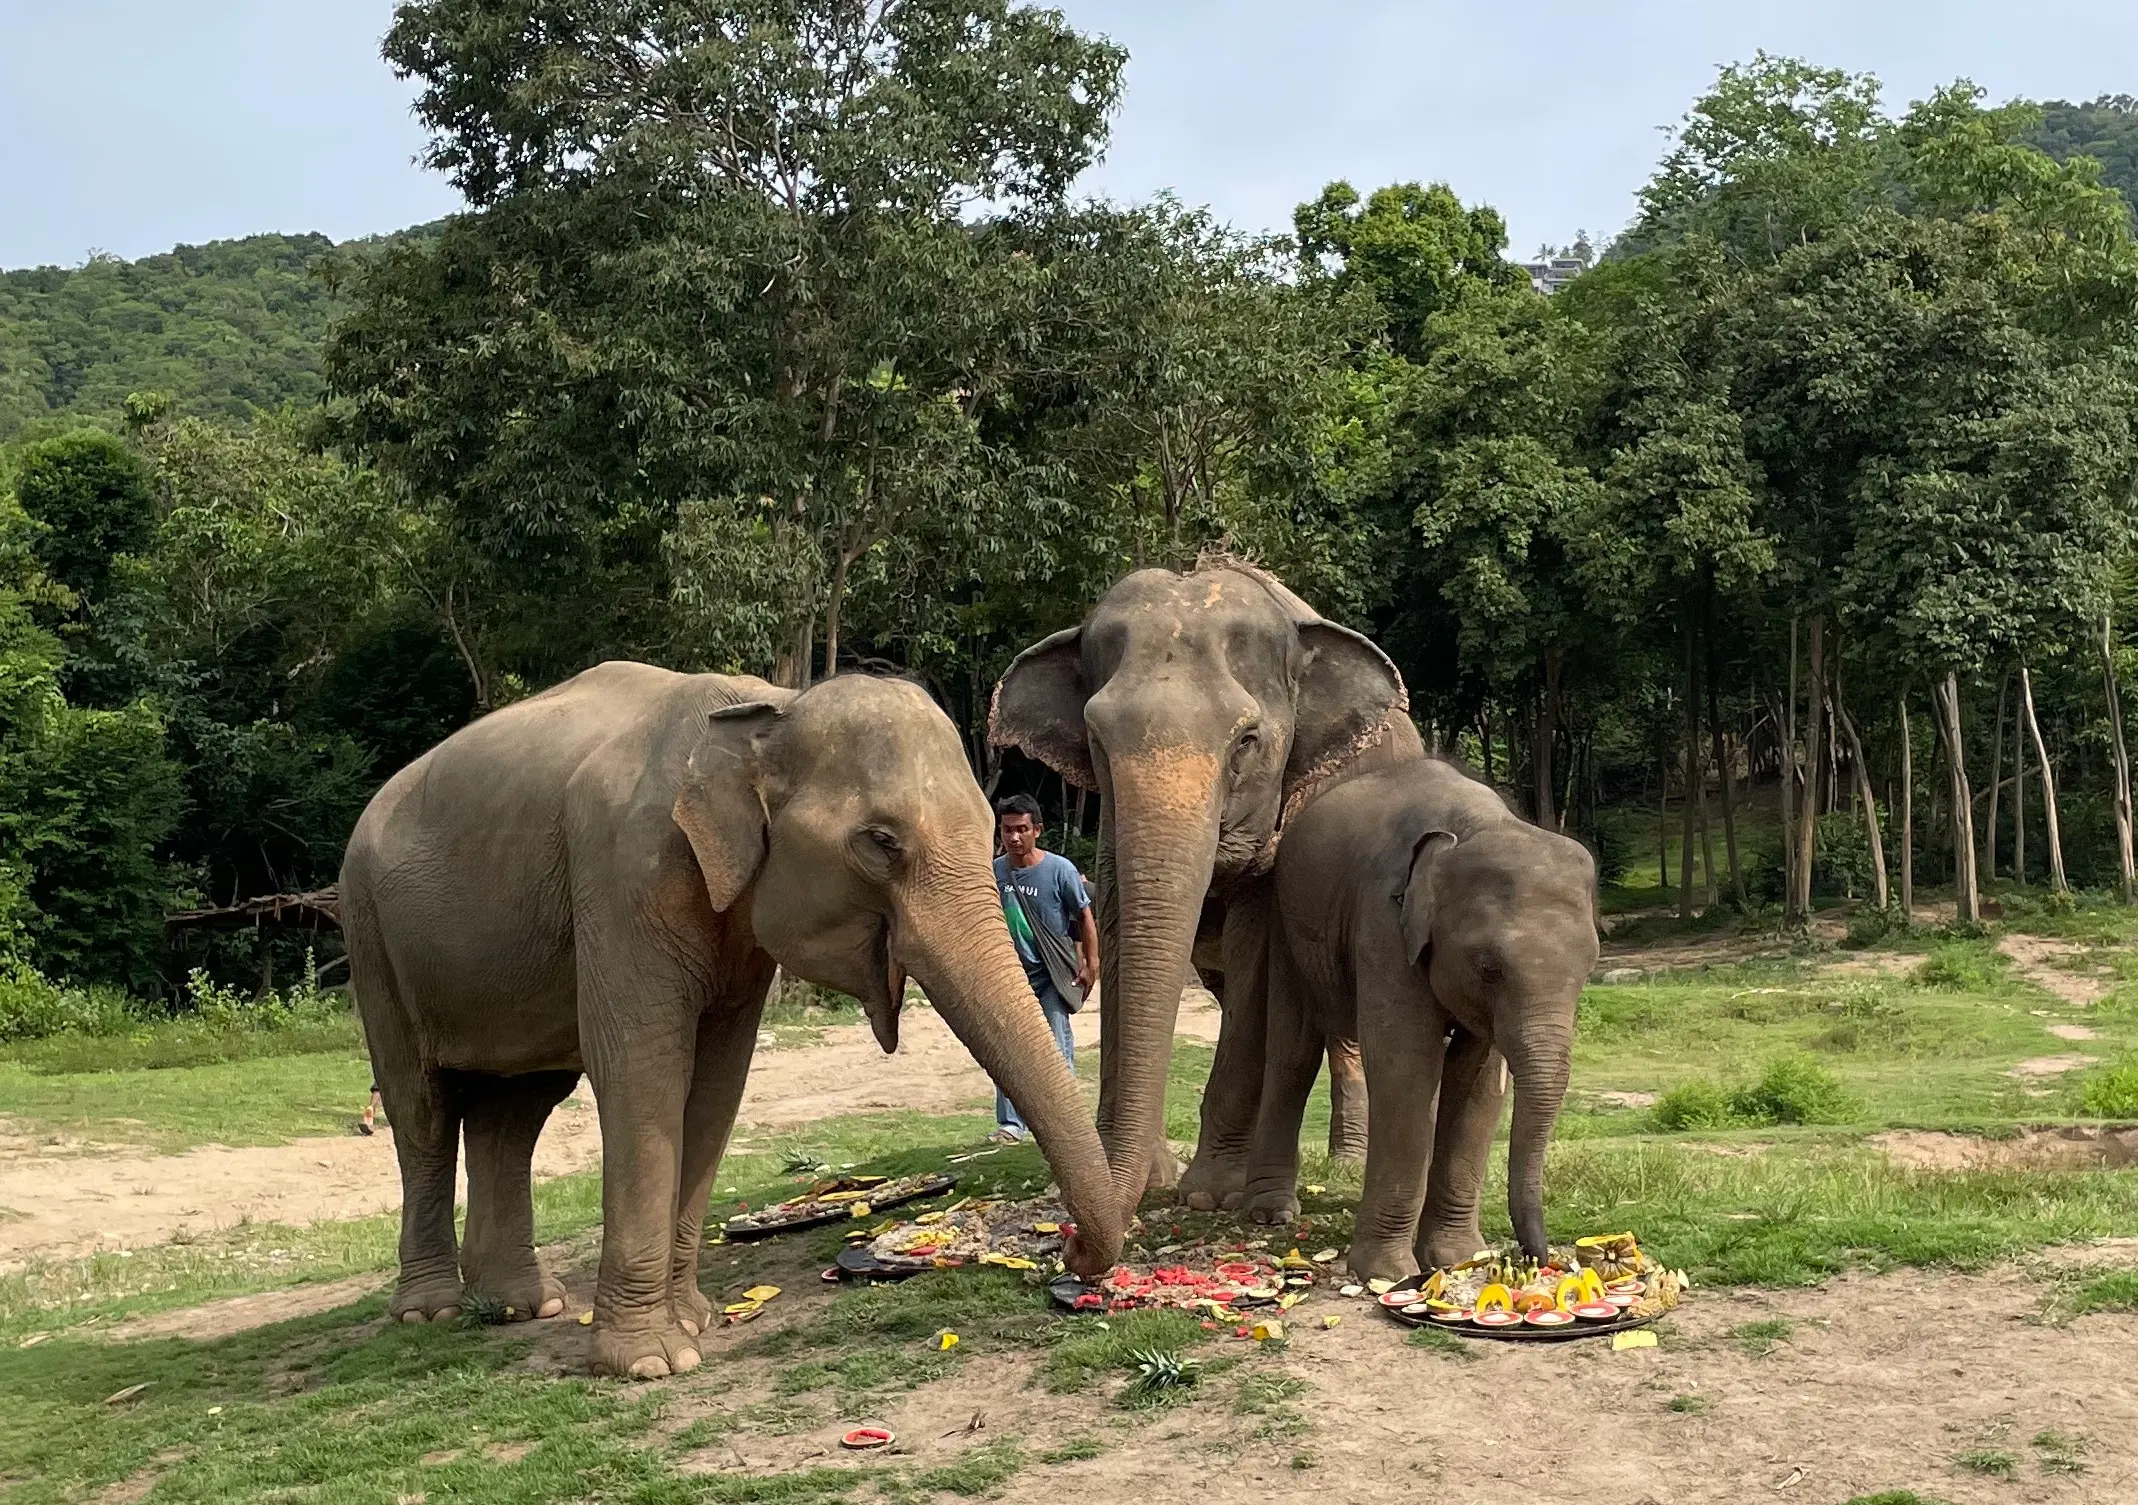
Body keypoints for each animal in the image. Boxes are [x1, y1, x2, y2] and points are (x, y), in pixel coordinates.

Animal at [342, 662, 1128, 1385]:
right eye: (881, 841)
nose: (1071, 1251)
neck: (769, 711)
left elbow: (719, 1080)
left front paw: (693, 1321)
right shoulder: (624, 873)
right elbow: (643, 1066)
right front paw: (651, 1362)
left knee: (516, 1108)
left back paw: (522, 1305)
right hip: (370, 935)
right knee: (423, 1109)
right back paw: (433, 1311)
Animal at [983, 560, 1419, 1214]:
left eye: (1247, 741)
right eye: (1096, 741)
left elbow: (1253, 949)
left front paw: (1209, 1194)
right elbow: (1117, 927)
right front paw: (1144, 1179)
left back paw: (1342, 1162)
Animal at [1248, 756, 1590, 1274]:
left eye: (1588, 971)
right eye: (1489, 969)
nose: (1538, 1260)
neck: (1475, 825)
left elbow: (1477, 1081)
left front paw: (1457, 1259)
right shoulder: (1383, 922)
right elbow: (1407, 1065)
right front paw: (1387, 1273)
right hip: (1287, 924)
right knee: (1293, 1052)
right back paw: (1273, 1214)